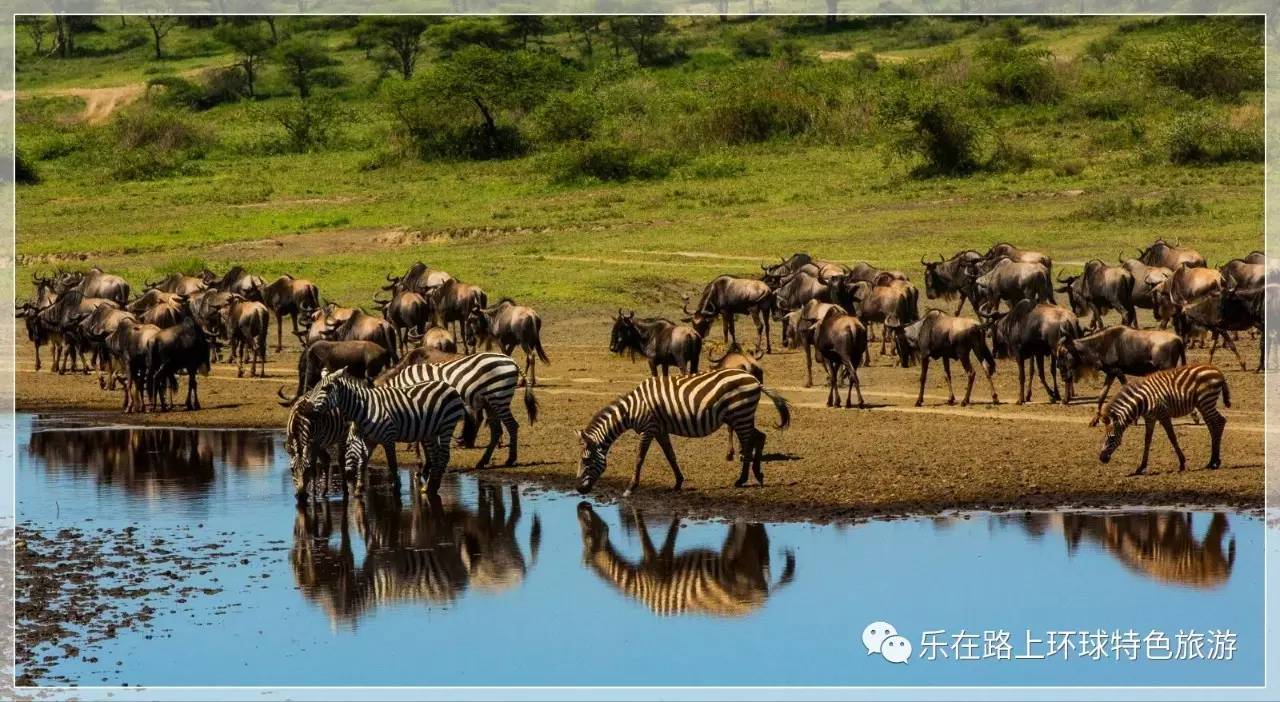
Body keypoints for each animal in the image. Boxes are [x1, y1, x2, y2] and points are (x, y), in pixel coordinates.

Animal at [302, 368, 468, 497]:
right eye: (315, 388)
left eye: (326, 389)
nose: (307, 412)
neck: (364, 409)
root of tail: (446, 384)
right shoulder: (369, 440)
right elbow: (363, 462)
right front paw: (359, 489)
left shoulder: (388, 438)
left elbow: (392, 464)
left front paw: (397, 488)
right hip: (430, 431)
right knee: (435, 455)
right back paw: (429, 486)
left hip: (447, 425)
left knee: (444, 455)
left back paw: (433, 486)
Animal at [373, 351, 535, 471]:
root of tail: (511, 360)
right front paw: (427, 462)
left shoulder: (419, 406)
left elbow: (421, 437)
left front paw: (422, 462)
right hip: (490, 403)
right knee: (496, 431)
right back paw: (482, 462)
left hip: (499, 397)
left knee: (512, 426)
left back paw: (510, 459)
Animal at [573, 363, 788, 497]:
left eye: (586, 460)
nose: (578, 490)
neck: (632, 408)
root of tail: (754, 378)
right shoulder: (659, 429)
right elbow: (670, 455)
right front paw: (678, 482)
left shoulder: (648, 428)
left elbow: (639, 457)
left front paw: (630, 488)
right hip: (739, 416)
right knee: (760, 436)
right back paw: (758, 475)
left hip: (740, 413)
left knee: (749, 441)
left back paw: (742, 479)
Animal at [1100, 363, 1228, 473]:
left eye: (1111, 438)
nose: (1101, 458)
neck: (1143, 401)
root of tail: (1217, 370)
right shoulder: (1150, 418)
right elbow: (1147, 440)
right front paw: (1141, 467)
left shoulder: (1163, 415)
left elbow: (1172, 438)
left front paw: (1182, 463)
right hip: (1203, 404)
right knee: (1212, 426)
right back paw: (1211, 462)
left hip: (1206, 400)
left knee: (1219, 422)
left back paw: (1216, 462)